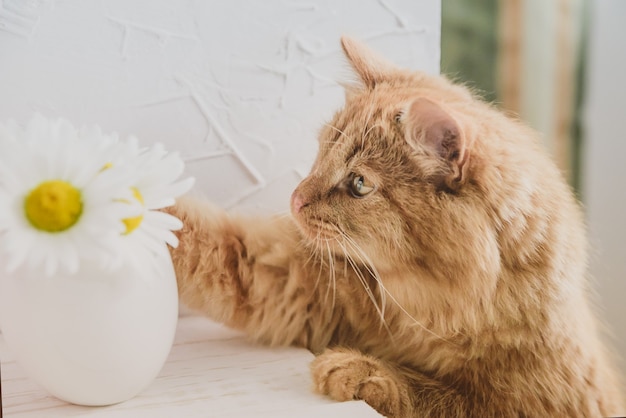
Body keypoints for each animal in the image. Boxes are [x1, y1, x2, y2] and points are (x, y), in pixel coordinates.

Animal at [167, 37, 624, 416]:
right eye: (322, 152)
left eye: (359, 184)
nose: (294, 200)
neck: (430, 311)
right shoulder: (293, 278)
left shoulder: (533, 403)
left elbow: (444, 397)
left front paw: (362, 370)